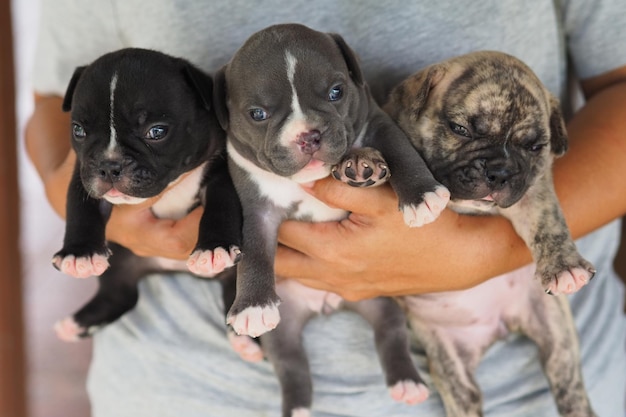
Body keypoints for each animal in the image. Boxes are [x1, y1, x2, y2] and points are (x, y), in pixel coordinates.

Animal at [52, 48, 241, 338]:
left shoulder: (222, 171)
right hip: (121, 261)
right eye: (78, 131)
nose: (109, 165)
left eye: (157, 131)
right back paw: (74, 325)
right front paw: (79, 253)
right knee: (120, 295)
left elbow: (222, 206)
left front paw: (213, 247)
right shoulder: (83, 177)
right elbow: (81, 210)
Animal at [214, 23, 448, 416]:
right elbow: (255, 251)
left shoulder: (376, 121)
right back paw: (297, 408)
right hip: (285, 328)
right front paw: (253, 305)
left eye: (336, 92)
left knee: (390, 334)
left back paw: (407, 382)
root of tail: (324, 304)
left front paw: (421, 195)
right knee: (291, 363)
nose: (308, 135)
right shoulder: (257, 206)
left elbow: (401, 151)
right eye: (257, 114)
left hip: (380, 302)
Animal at [386, 51, 596, 416]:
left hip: (556, 332)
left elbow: (549, 222)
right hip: (450, 364)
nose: (499, 172)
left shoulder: (532, 192)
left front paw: (564, 267)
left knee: (566, 378)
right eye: (460, 130)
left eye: (535, 146)